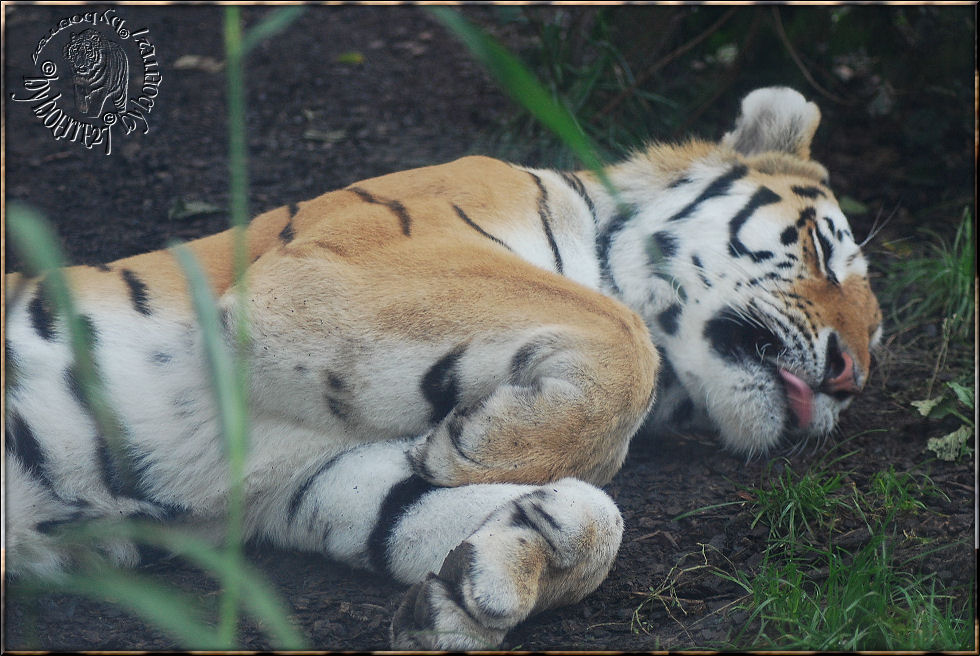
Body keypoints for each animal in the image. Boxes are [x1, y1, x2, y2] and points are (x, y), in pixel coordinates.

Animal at [3, 88, 880, 652]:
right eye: (821, 250)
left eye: (874, 334)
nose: (851, 378)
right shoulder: (338, 270)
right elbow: (621, 331)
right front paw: (489, 448)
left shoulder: (307, 477)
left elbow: (597, 519)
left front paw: (476, 584)